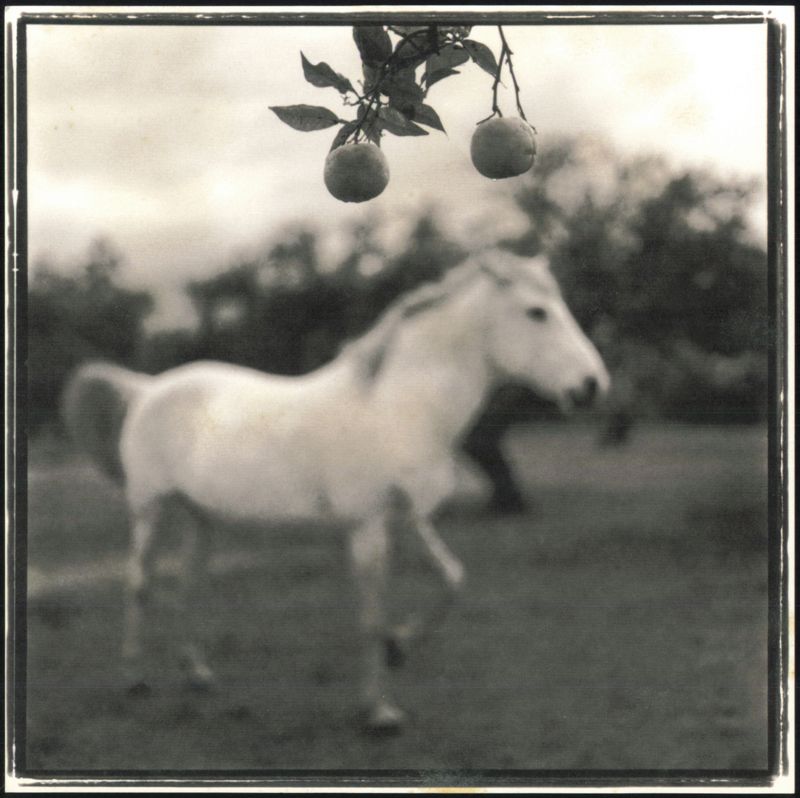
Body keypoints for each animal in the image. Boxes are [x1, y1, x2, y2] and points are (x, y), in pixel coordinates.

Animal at [62, 249, 610, 733]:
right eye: (537, 312)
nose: (591, 386)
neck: (401, 408)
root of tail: (148, 389)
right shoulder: (367, 527)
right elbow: (370, 616)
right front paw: (379, 713)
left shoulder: (409, 520)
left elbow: (453, 579)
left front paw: (399, 647)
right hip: (150, 510)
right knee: (138, 583)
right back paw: (133, 680)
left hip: (202, 518)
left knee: (186, 586)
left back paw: (198, 675)